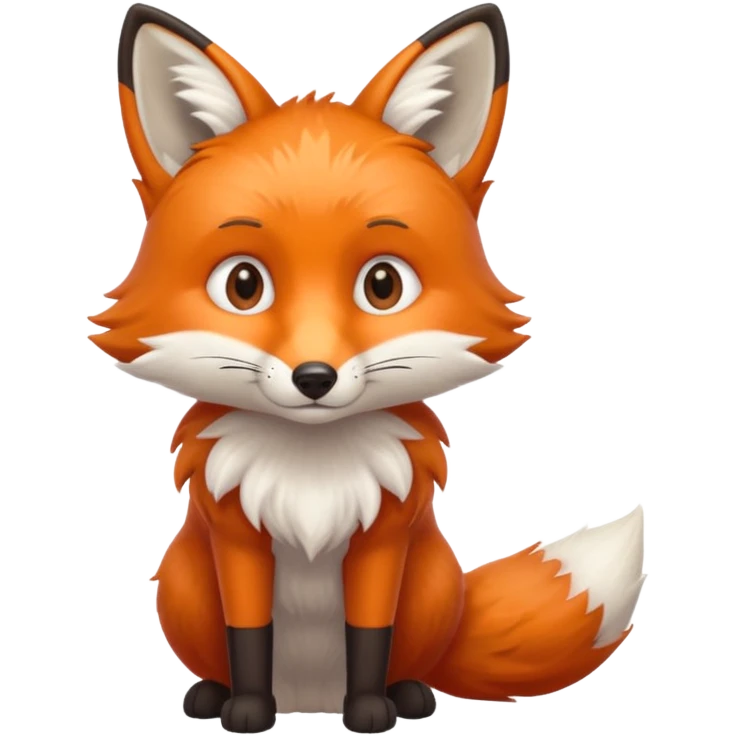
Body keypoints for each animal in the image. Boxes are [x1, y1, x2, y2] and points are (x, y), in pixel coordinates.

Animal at [93, 2, 648, 734]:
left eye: (382, 285)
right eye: (244, 285)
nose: (314, 377)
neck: (311, 473)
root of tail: (310, 698)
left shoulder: (383, 543)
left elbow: (368, 636)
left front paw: (368, 713)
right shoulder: (238, 543)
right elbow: (250, 637)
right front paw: (249, 711)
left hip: (432, 583)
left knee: (410, 661)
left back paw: (408, 693)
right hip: (183, 585)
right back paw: (211, 694)